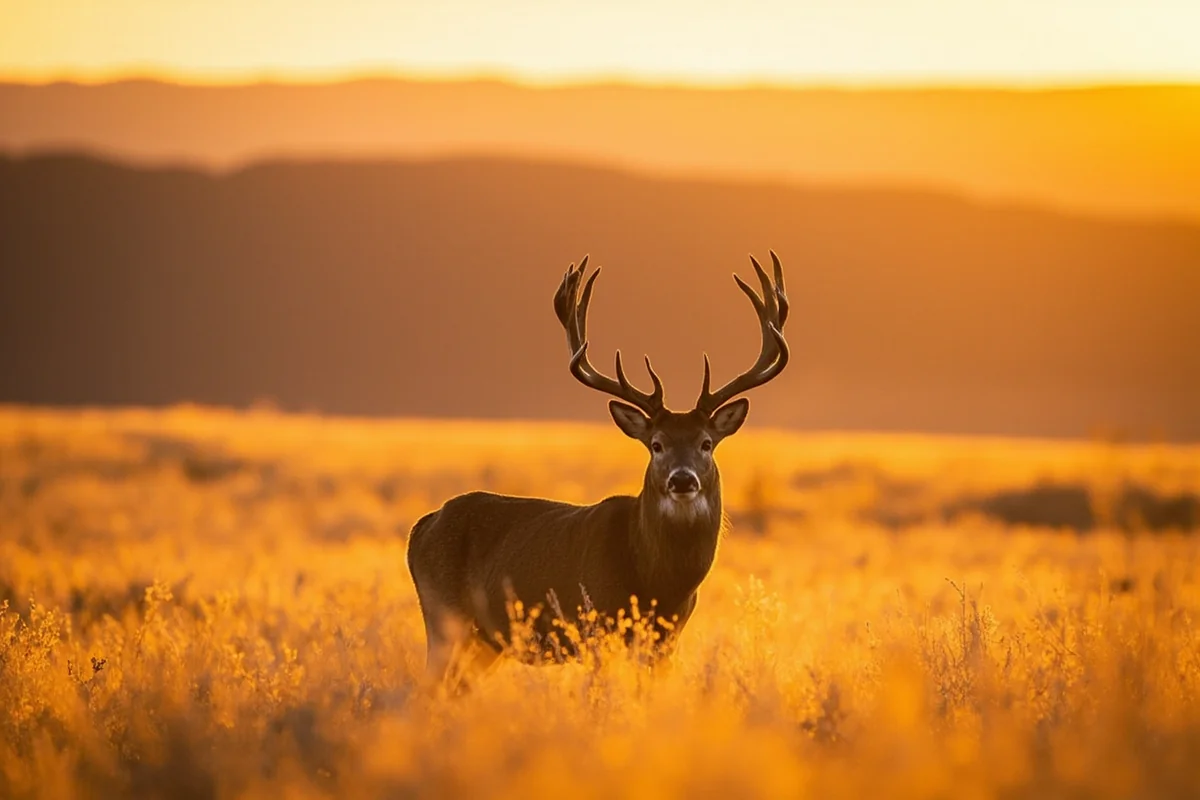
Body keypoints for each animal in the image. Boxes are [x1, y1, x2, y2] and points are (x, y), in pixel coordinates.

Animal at [406, 252, 790, 691]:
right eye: (656, 444)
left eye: (706, 443)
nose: (682, 479)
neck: (658, 580)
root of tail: (421, 527)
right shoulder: (595, 624)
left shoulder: (668, 639)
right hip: (443, 618)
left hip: (483, 644)